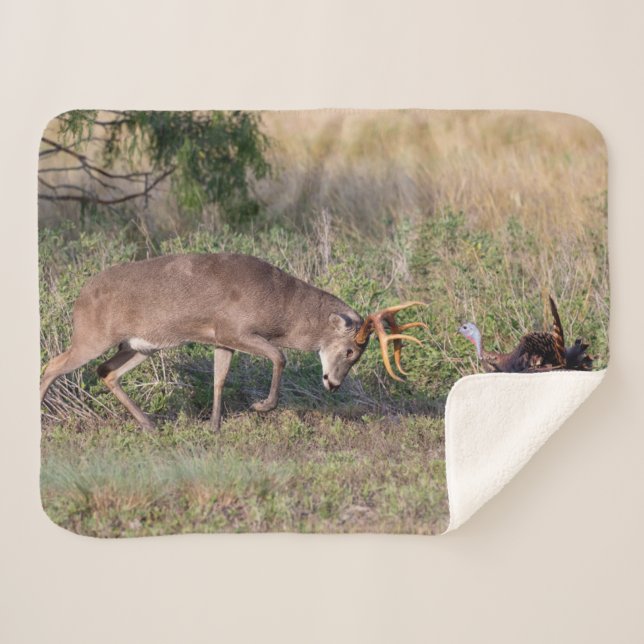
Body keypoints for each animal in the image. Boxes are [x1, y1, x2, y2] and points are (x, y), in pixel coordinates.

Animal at [40, 253, 428, 431]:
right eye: (349, 350)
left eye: (359, 356)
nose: (333, 383)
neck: (281, 307)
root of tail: (80, 298)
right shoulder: (234, 329)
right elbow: (280, 356)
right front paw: (261, 407)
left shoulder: (221, 339)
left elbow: (219, 378)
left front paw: (214, 425)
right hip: (92, 335)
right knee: (52, 365)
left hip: (140, 346)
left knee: (106, 372)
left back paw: (150, 424)